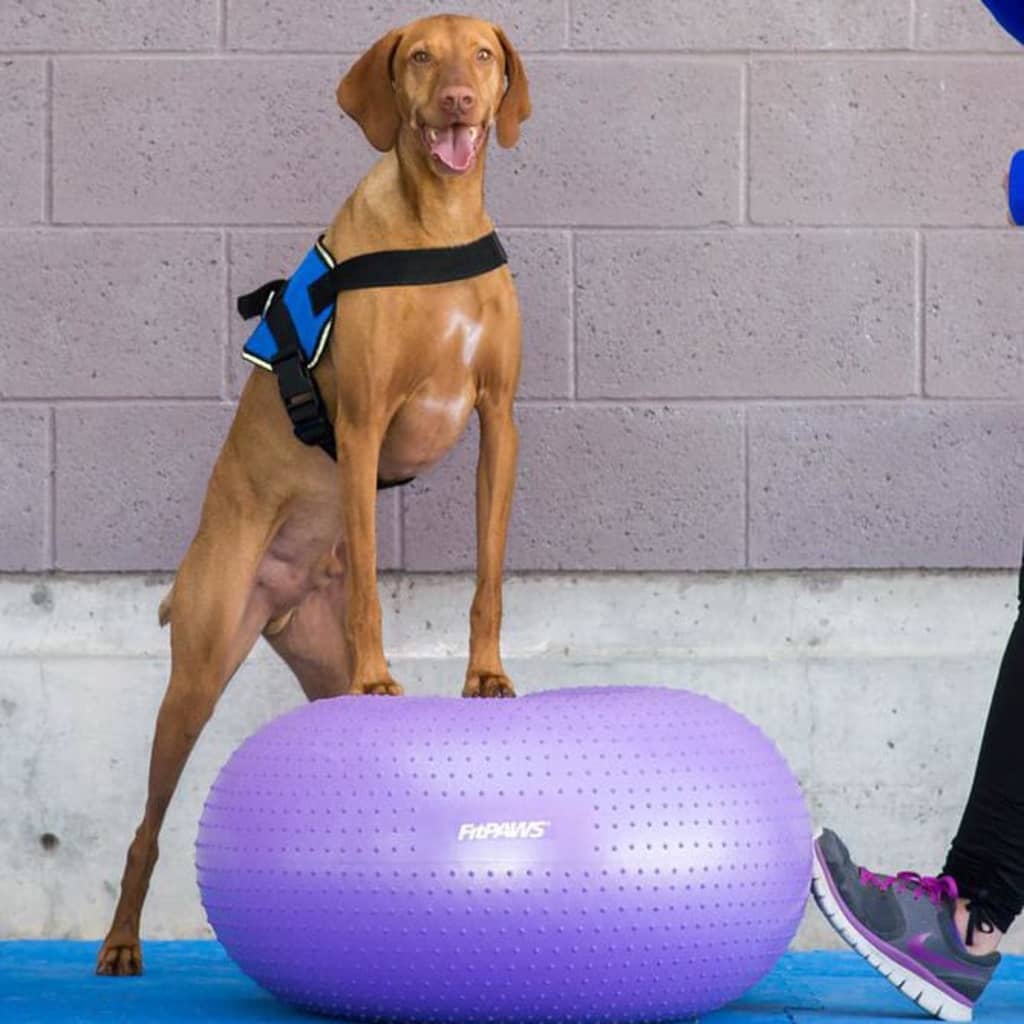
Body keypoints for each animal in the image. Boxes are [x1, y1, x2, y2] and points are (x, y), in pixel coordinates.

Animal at [96, 14, 532, 974]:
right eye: (420, 56)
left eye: (482, 55)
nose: (458, 101)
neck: (436, 225)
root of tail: (281, 597)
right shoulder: (363, 427)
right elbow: (370, 574)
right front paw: (383, 677)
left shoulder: (499, 421)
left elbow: (489, 574)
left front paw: (485, 676)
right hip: (198, 667)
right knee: (147, 824)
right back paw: (119, 944)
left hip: (313, 661)